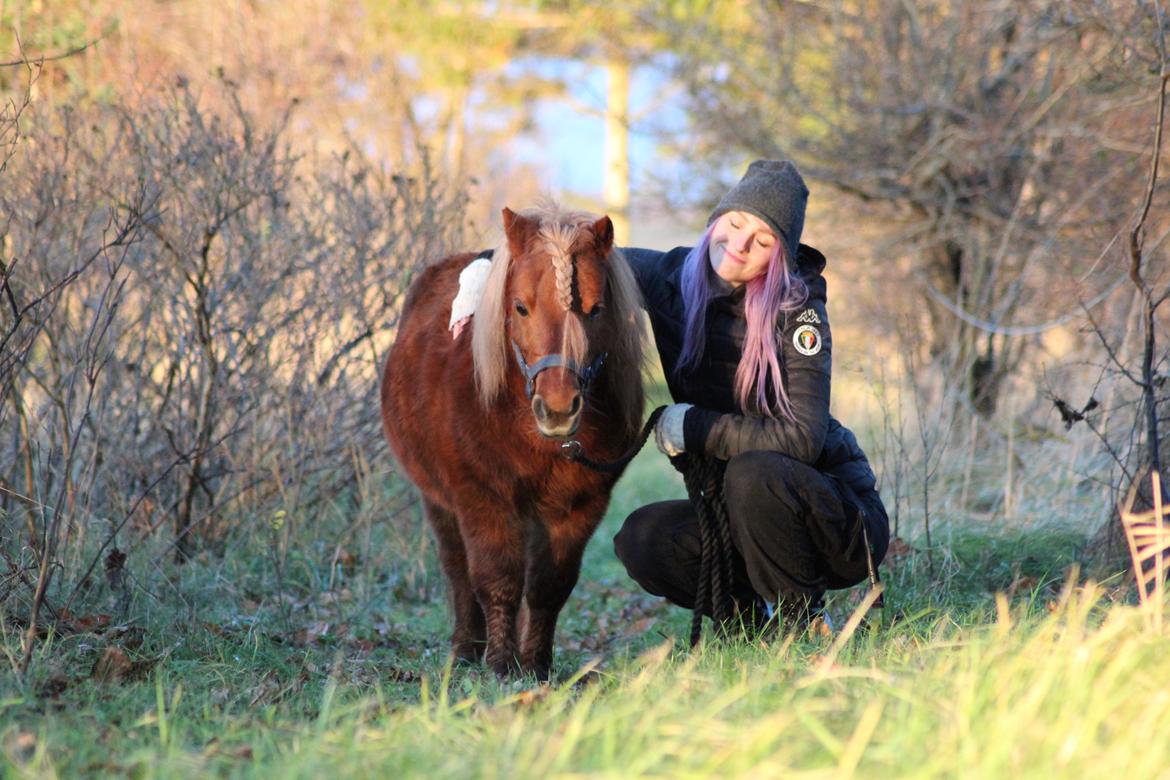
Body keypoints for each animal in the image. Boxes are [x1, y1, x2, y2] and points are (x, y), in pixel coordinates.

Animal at [381, 205, 641, 678]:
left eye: (596, 310)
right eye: (520, 307)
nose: (558, 408)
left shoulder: (579, 509)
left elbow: (548, 587)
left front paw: (536, 664)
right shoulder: (482, 500)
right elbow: (496, 581)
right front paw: (501, 664)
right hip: (439, 502)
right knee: (457, 571)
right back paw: (466, 649)